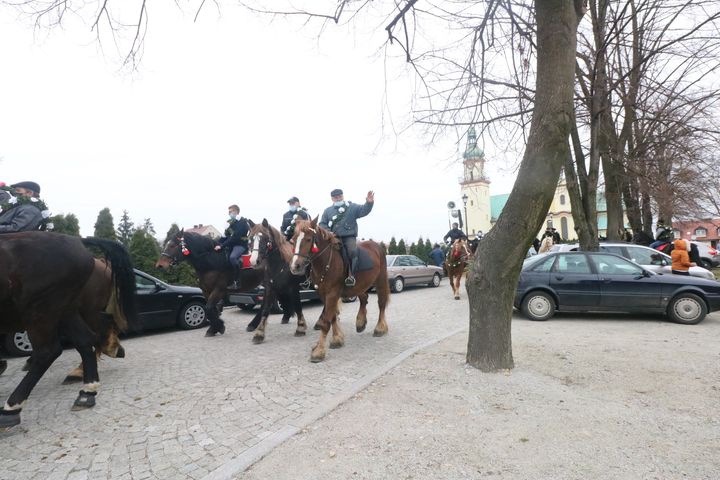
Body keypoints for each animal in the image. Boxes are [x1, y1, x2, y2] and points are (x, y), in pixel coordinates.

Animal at [0, 232, 136, 428]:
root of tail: (78, 241)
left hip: (42, 309)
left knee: (49, 351)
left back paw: (12, 407)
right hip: (65, 310)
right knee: (87, 339)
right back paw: (87, 390)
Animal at [288, 218, 390, 364]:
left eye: (308, 239)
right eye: (293, 240)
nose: (295, 266)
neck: (326, 262)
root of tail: (377, 246)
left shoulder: (332, 293)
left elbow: (326, 321)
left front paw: (319, 351)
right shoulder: (324, 294)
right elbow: (333, 316)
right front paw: (337, 339)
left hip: (380, 280)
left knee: (381, 303)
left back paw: (380, 328)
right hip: (360, 285)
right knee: (364, 299)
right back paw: (360, 322)